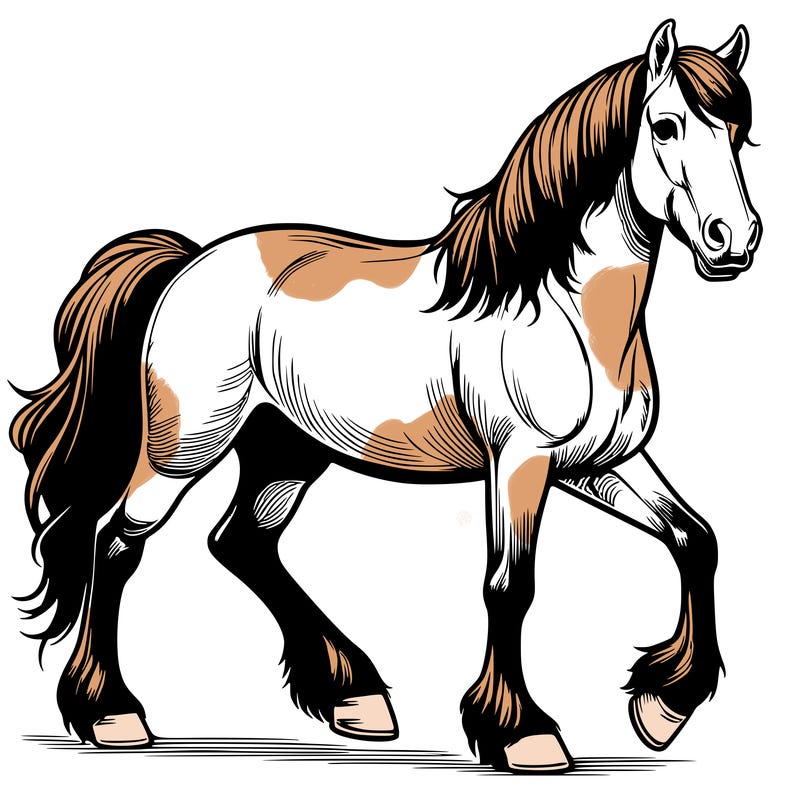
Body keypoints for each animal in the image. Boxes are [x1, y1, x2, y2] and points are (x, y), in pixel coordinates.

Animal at [10, 20, 760, 773]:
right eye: (665, 125)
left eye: (738, 130)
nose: (734, 241)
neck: (558, 307)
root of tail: (189, 263)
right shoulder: (520, 463)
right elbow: (509, 586)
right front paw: (523, 734)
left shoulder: (599, 464)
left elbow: (696, 539)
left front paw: (663, 708)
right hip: (184, 448)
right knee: (116, 543)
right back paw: (112, 715)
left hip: (286, 450)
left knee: (242, 542)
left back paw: (354, 697)